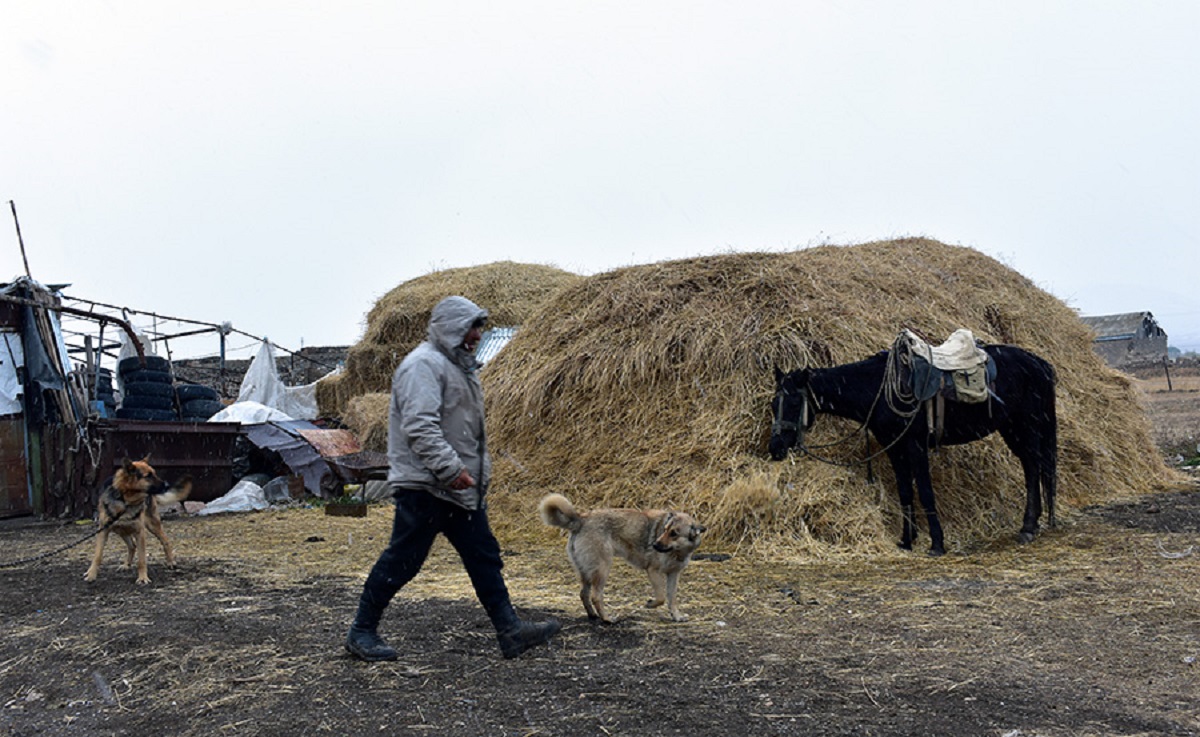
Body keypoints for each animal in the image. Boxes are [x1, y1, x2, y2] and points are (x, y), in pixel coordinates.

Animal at [542, 496, 700, 624]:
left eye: (674, 533)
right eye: (665, 530)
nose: (654, 545)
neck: (677, 552)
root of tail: (582, 519)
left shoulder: (673, 574)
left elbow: (672, 599)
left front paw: (677, 616)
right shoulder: (653, 571)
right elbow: (661, 597)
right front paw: (650, 604)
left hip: (586, 572)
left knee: (584, 594)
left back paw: (593, 615)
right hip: (603, 569)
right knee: (596, 597)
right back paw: (607, 619)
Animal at [768, 345, 1060, 554]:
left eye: (793, 402)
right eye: (773, 404)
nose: (775, 448)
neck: (878, 387)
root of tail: (1038, 363)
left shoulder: (915, 446)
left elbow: (925, 492)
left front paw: (937, 544)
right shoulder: (894, 448)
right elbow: (905, 492)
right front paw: (907, 540)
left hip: (1026, 426)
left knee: (1034, 467)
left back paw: (1028, 527)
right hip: (1012, 429)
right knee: (1032, 466)